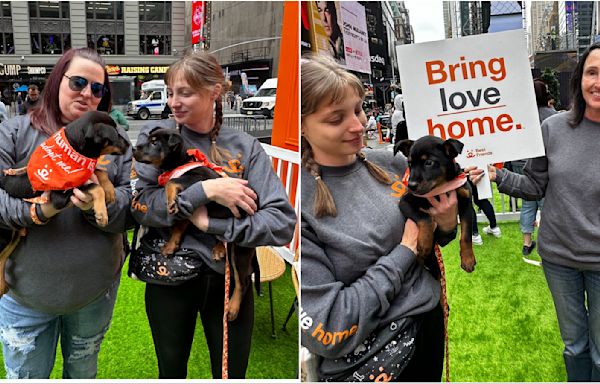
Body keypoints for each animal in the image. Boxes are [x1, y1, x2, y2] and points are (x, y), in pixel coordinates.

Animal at [134, 127, 258, 322]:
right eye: (148, 139)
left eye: (154, 143)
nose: (133, 149)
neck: (178, 163)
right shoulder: (188, 211)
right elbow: (178, 227)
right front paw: (171, 245)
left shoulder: (198, 178)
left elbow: (172, 181)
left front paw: (170, 200)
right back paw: (218, 249)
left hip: (240, 251)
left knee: (242, 281)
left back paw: (232, 308)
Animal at [396, 135, 476, 272]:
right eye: (410, 163)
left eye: (429, 163)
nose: (411, 185)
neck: (441, 187)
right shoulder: (405, 202)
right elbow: (426, 218)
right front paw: (424, 243)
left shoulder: (466, 205)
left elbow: (466, 235)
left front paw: (468, 259)